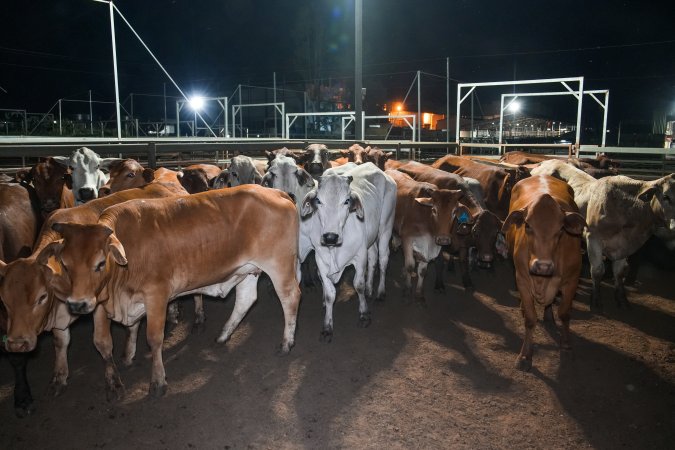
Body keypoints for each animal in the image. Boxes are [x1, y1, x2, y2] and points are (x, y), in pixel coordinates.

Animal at [0, 181, 193, 400]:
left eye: (41, 297)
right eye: (4, 302)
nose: (17, 344)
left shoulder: (100, 304)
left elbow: (102, 342)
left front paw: (113, 383)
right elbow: (60, 342)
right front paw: (59, 378)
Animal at [37, 185, 300, 398]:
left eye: (100, 263)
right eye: (65, 264)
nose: (77, 305)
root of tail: (276, 192)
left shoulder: (157, 295)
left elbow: (154, 339)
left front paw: (158, 382)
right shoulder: (102, 302)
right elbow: (103, 342)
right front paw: (118, 375)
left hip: (279, 265)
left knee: (290, 298)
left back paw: (286, 343)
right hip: (248, 270)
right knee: (246, 300)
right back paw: (223, 335)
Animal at [300, 162, 396, 342]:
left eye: (346, 201)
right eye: (318, 200)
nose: (330, 237)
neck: (334, 250)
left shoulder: (359, 256)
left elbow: (358, 284)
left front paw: (364, 315)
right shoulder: (320, 260)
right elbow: (330, 294)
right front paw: (327, 327)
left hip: (386, 226)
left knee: (383, 259)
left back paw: (380, 293)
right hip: (370, 238)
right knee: (373, 258)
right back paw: (370, 289)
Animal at [502, 175, 588, 370]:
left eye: (561, 229)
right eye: (527, 225)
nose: (543, 266)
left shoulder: (573, 280)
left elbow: (564, 313)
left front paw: (566, 345)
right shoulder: (522, 279)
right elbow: (530, 319)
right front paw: (525, 355)